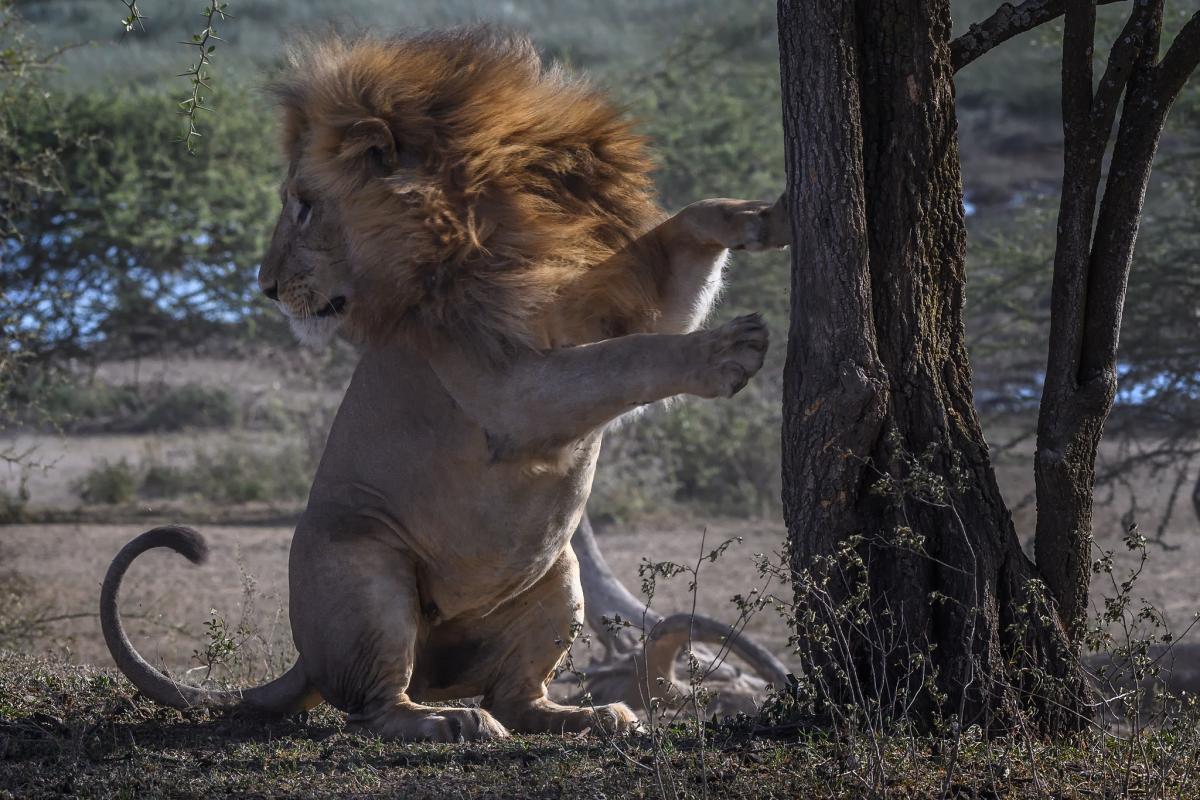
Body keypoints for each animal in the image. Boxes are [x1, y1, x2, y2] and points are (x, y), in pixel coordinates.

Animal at [103, 31, 792, 743]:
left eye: (305, 205)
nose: (265, 287)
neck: (490, 227)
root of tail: (303, 658)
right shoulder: (511, 394)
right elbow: (627, 358)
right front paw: (730, 349)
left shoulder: (612, 305)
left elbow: (688, 239)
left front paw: (765, 217)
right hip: (370, 569)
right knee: (377, 705)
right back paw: (449, 723)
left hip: (560, 579)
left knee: (513, 697)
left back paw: (591, 715)